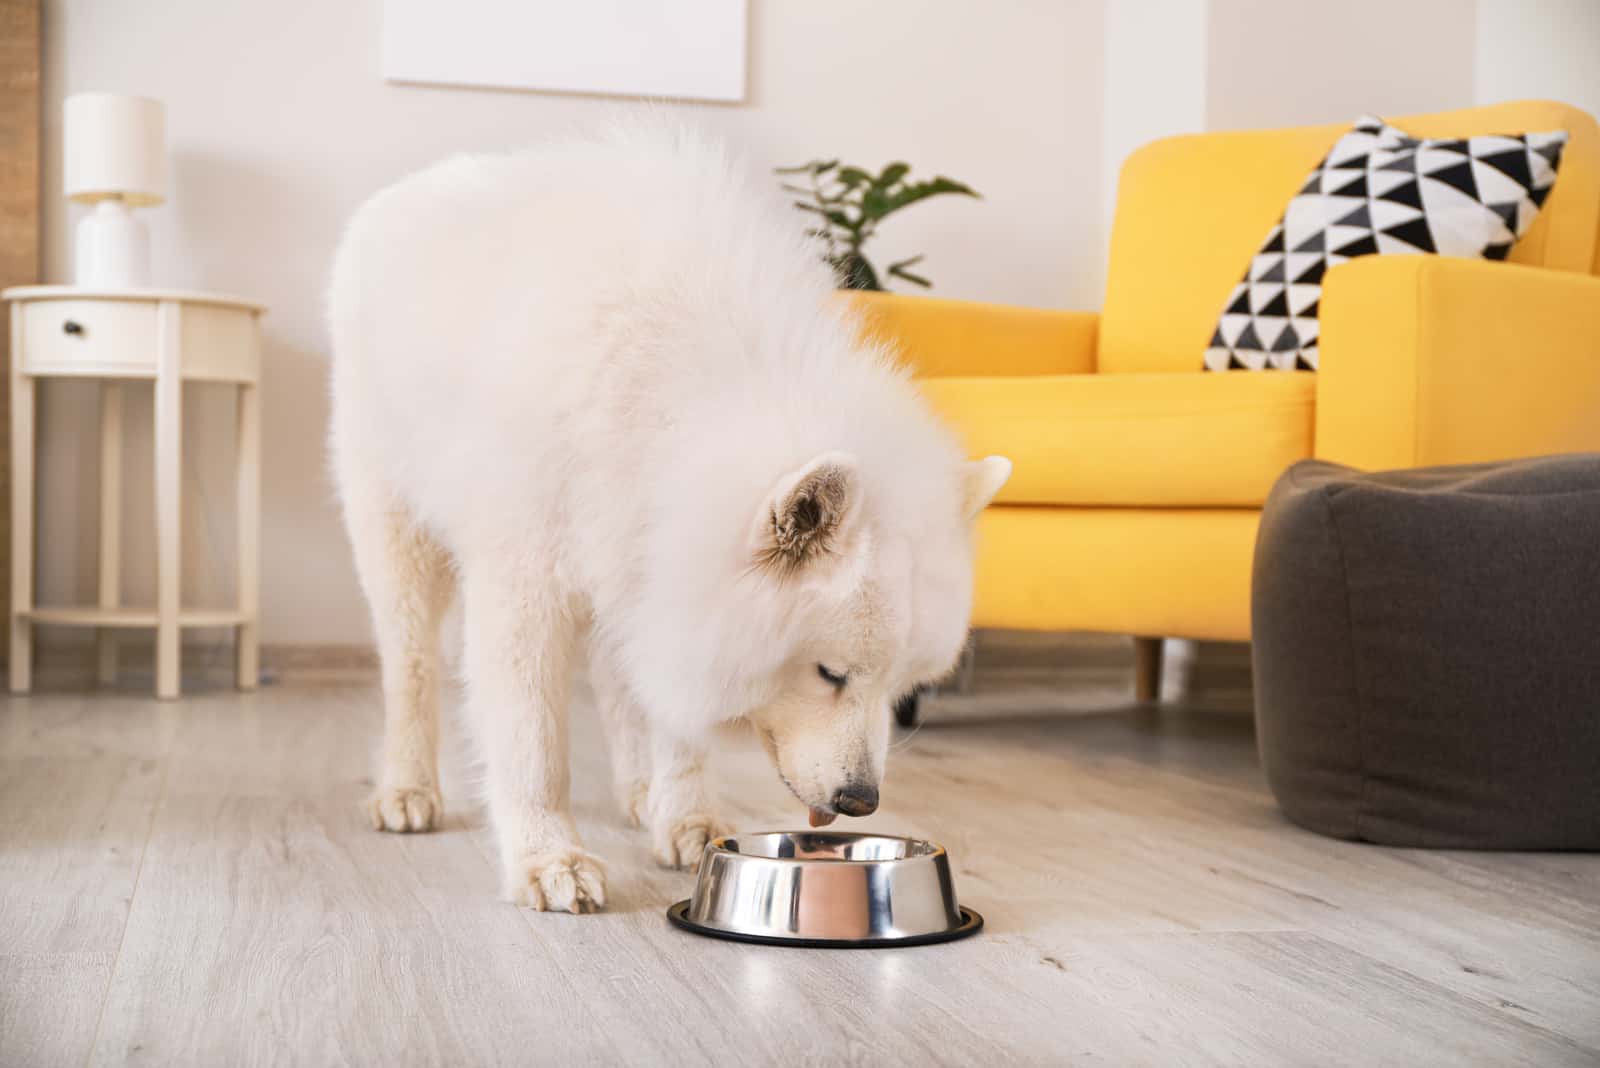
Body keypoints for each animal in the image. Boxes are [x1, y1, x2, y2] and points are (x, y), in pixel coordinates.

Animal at [324, 123, 1004, 908]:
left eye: (903, 689)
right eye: (830, 673)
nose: (862, 800)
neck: (680, 400)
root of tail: (394, 197)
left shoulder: (666, 573)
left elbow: (674, 714)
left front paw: (685, 817)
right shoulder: (529, 585)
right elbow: (532, 742)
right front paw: (548, 857)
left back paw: (642, 792)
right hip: (395, 529)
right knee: (408, 667)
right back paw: (406, 787)